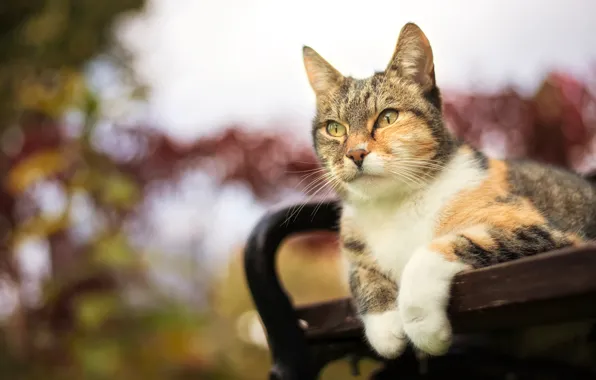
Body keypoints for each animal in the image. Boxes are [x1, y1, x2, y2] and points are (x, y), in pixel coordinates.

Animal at [300, 22, 596, 360]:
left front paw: (423, 328)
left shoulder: (536, 228)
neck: (395, 204)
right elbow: (360, 275)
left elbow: (436, 250)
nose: (356, 153)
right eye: (334, 128)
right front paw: (385, 327)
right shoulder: (355, 246)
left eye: (388, 117)